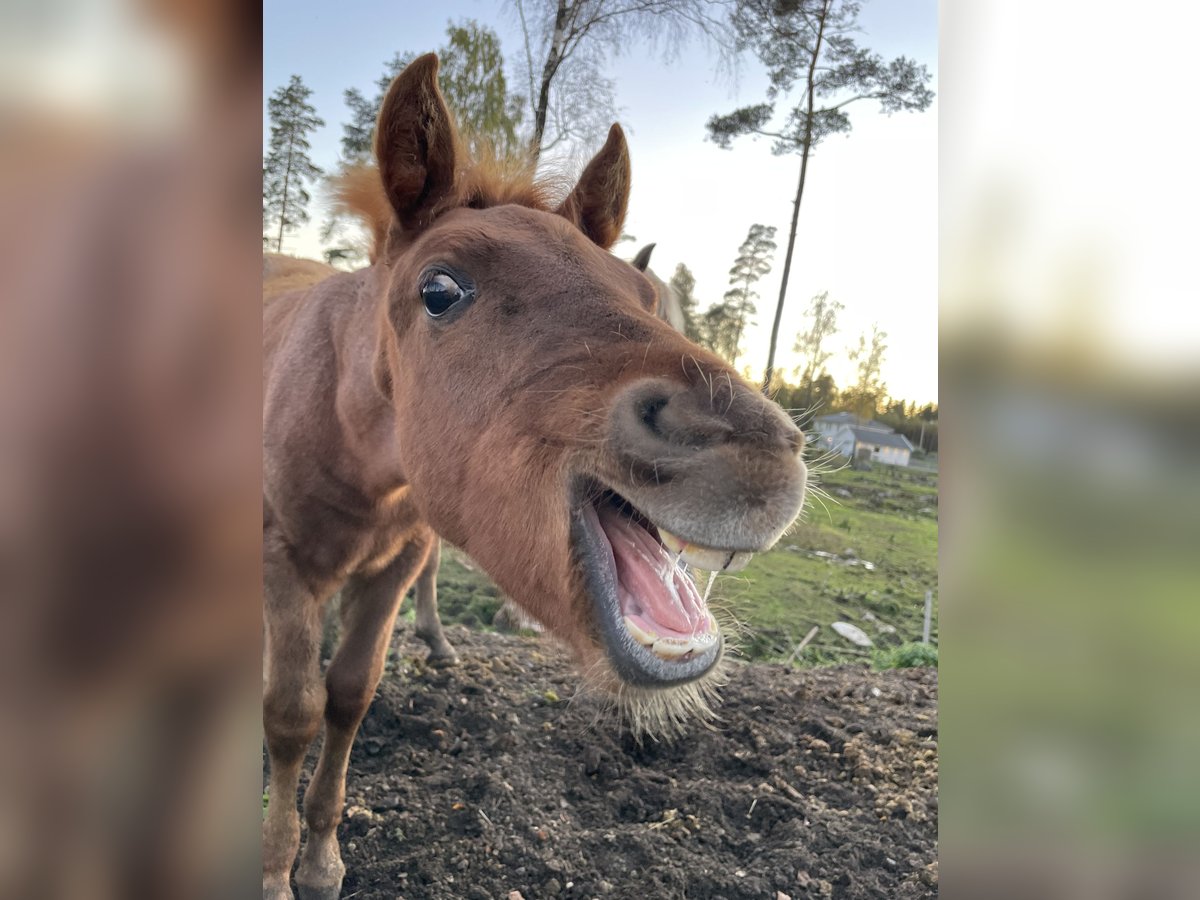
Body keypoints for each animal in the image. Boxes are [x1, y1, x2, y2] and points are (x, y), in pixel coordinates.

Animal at [262, 53, 807, 900]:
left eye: (645, 298)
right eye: (440, 290)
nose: (756, 450)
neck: (349, 434)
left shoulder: (398, 560)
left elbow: (349, 696)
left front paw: (320, 859)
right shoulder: (280, 561)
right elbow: (291, 714)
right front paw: (275, 869)